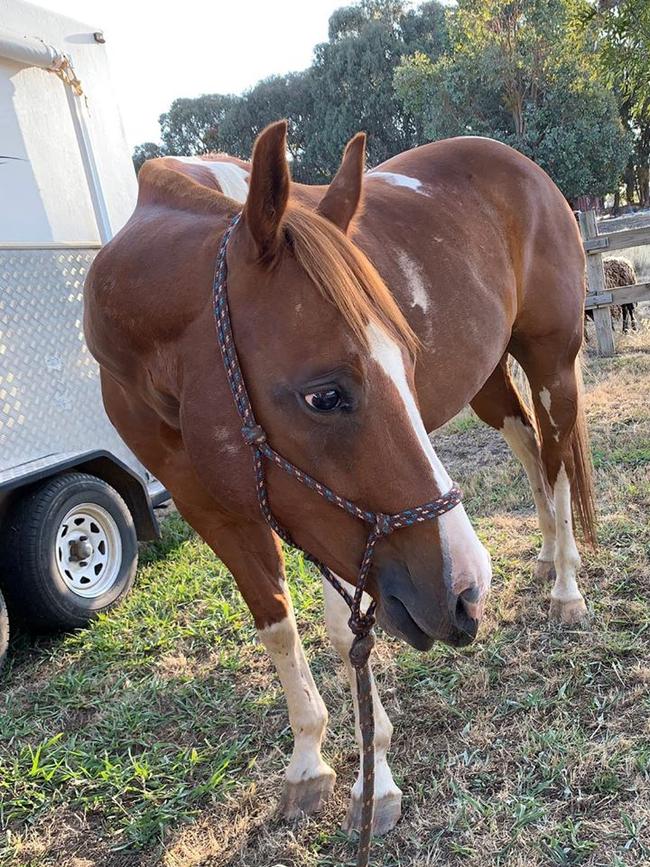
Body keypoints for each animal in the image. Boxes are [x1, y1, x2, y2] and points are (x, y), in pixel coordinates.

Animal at [85, 120, 592, 836]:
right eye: (324, 396)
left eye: (408, 360)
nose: (465, 592)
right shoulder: (218, 504)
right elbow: (276, 624)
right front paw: (307, 763)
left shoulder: (334, 528)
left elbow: (345, 630)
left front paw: (373, 781)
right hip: (490, 375)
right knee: (527, 448)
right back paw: (546, 556)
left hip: (552, 362)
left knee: (554, 459)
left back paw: (567, 587)